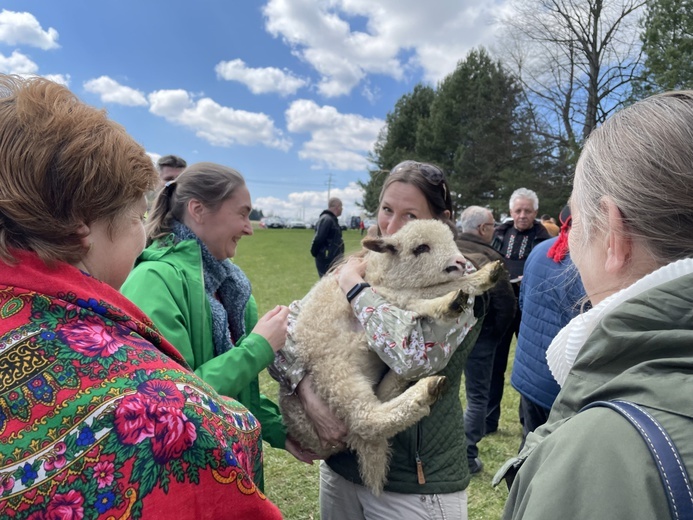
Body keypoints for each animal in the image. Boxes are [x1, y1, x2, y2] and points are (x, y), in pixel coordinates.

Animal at [278, 219, 500, 496]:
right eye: (421, 248)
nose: (460, 262)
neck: (381, 270)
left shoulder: (389, 293)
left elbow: (418, 297)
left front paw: (469, 287)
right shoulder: (386, 292)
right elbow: (423, 293)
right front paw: (467, 288)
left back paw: (404, 381)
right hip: (335, 374)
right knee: (366, 419)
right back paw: (424, 391)